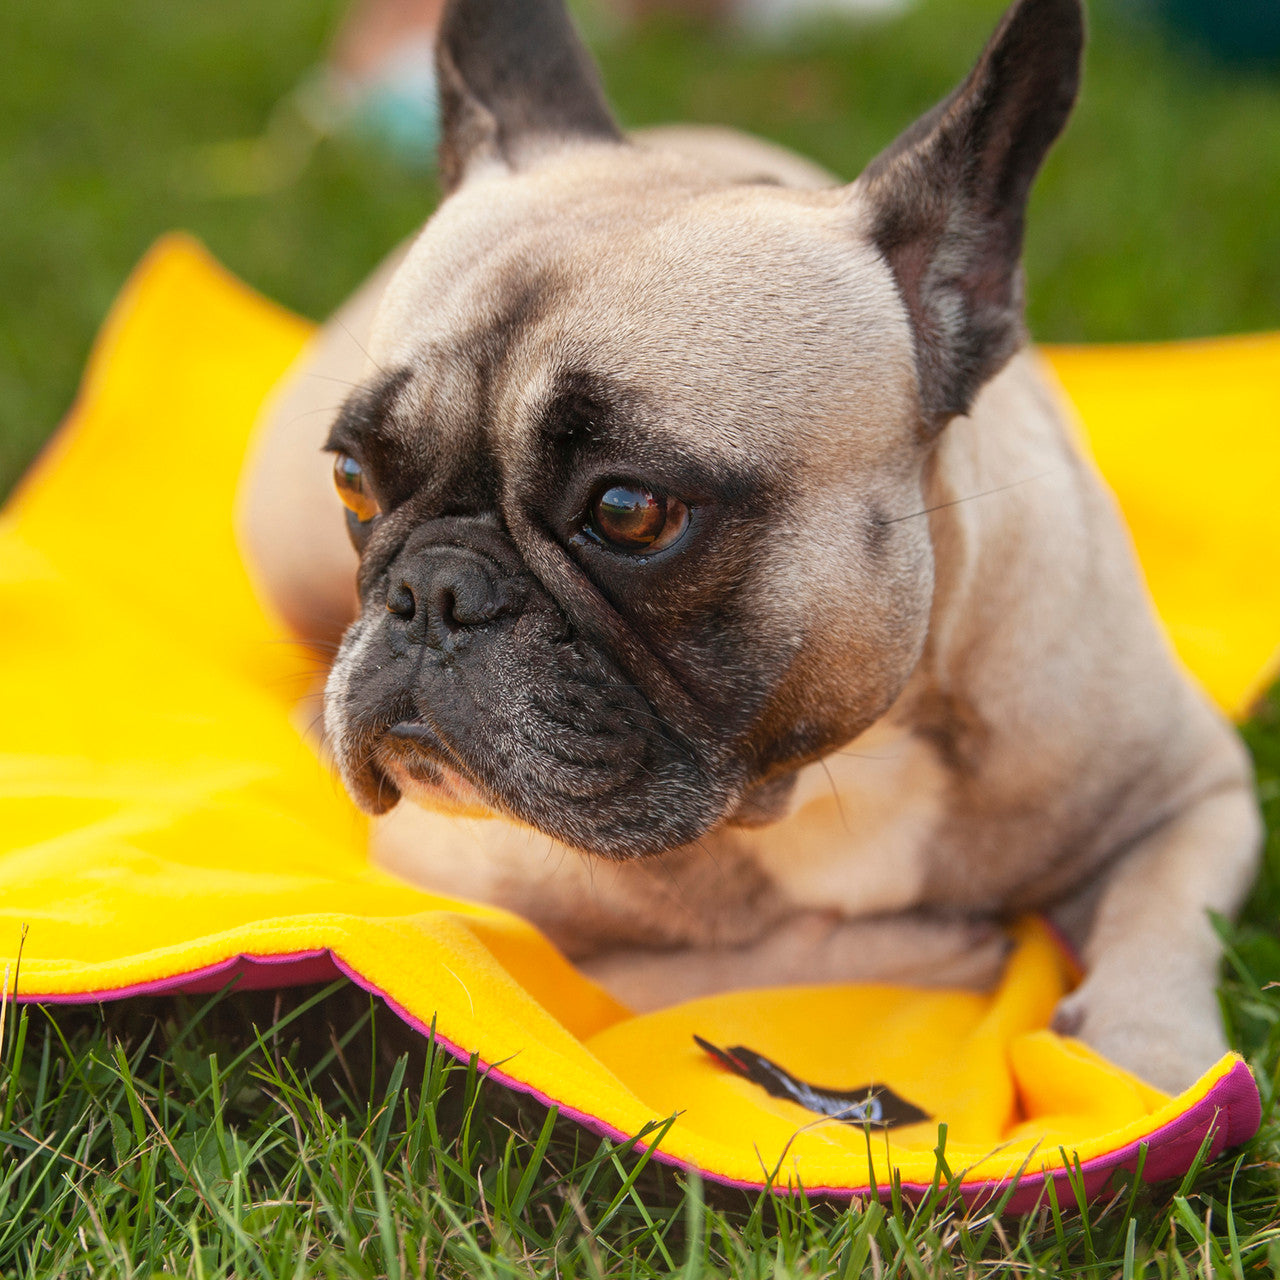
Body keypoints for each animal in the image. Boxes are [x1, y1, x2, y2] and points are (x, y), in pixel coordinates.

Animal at [238, 0, 1259, 1090]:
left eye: (630, 510)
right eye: (354, 477)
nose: (433, 594)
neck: (829, 770)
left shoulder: (1194, 792)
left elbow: (1165, 917)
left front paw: (1146, 1054)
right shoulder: (484, 913)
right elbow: (746, 953)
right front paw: (958, 946)